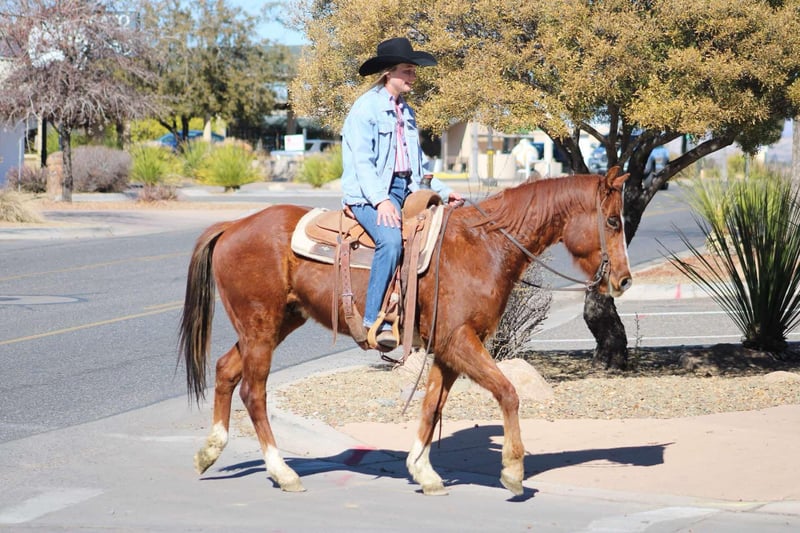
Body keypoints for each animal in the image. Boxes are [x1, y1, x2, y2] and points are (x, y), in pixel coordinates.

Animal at [179, 167, 632, 496]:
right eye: (612, 220)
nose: (624, 280)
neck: (482, 246)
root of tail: (233, 225)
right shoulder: (459, 341)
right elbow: (507, 392)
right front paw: (513, 469)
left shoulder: (448, 347)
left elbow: (432, 405)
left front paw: (423, 471)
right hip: (260, 327)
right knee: (253, 392)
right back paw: (283, 471)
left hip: (276, 324)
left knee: (225, 370)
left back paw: (210, 451)